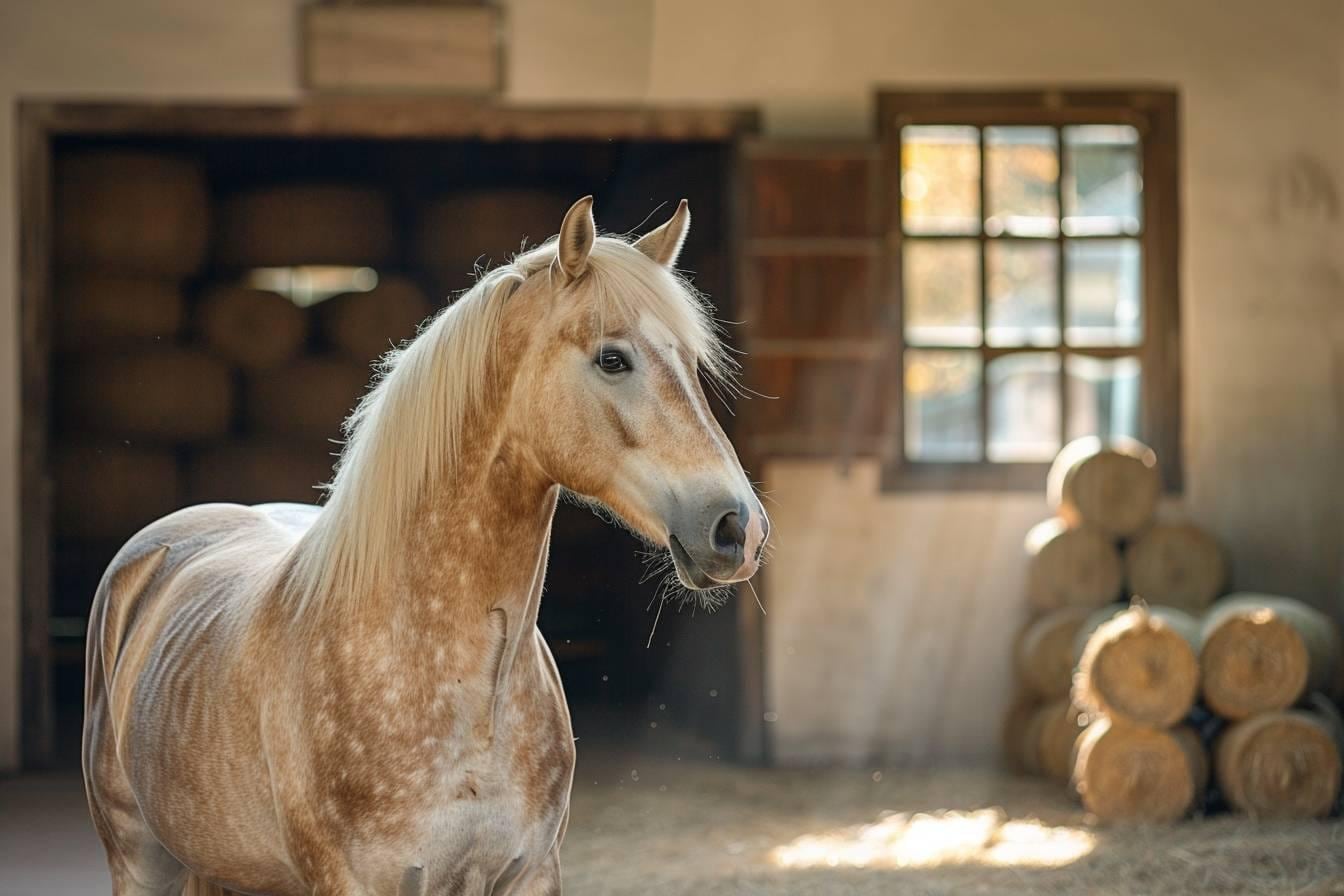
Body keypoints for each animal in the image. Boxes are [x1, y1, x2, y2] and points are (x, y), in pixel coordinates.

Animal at [82, 196, 769, 896]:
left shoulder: (531, 872)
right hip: (139, 860)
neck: (464, 689)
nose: (738, 528)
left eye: (690, 364)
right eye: (612, 359)